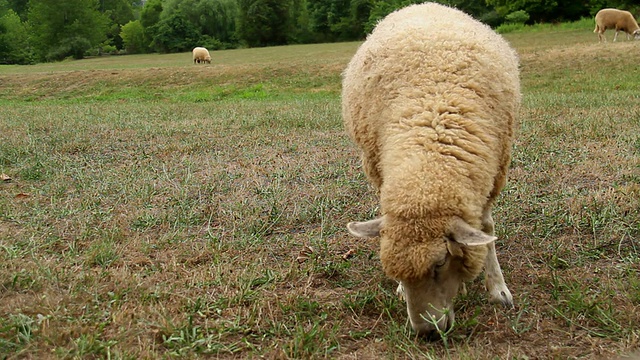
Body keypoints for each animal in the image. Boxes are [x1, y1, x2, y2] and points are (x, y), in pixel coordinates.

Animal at [342, 2, 524, 338]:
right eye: (391, 267)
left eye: (440, 263)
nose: (426, 332)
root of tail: (424, 5)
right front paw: (401, 289)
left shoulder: (492, 174)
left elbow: (486, 230)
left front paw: (498, 288)